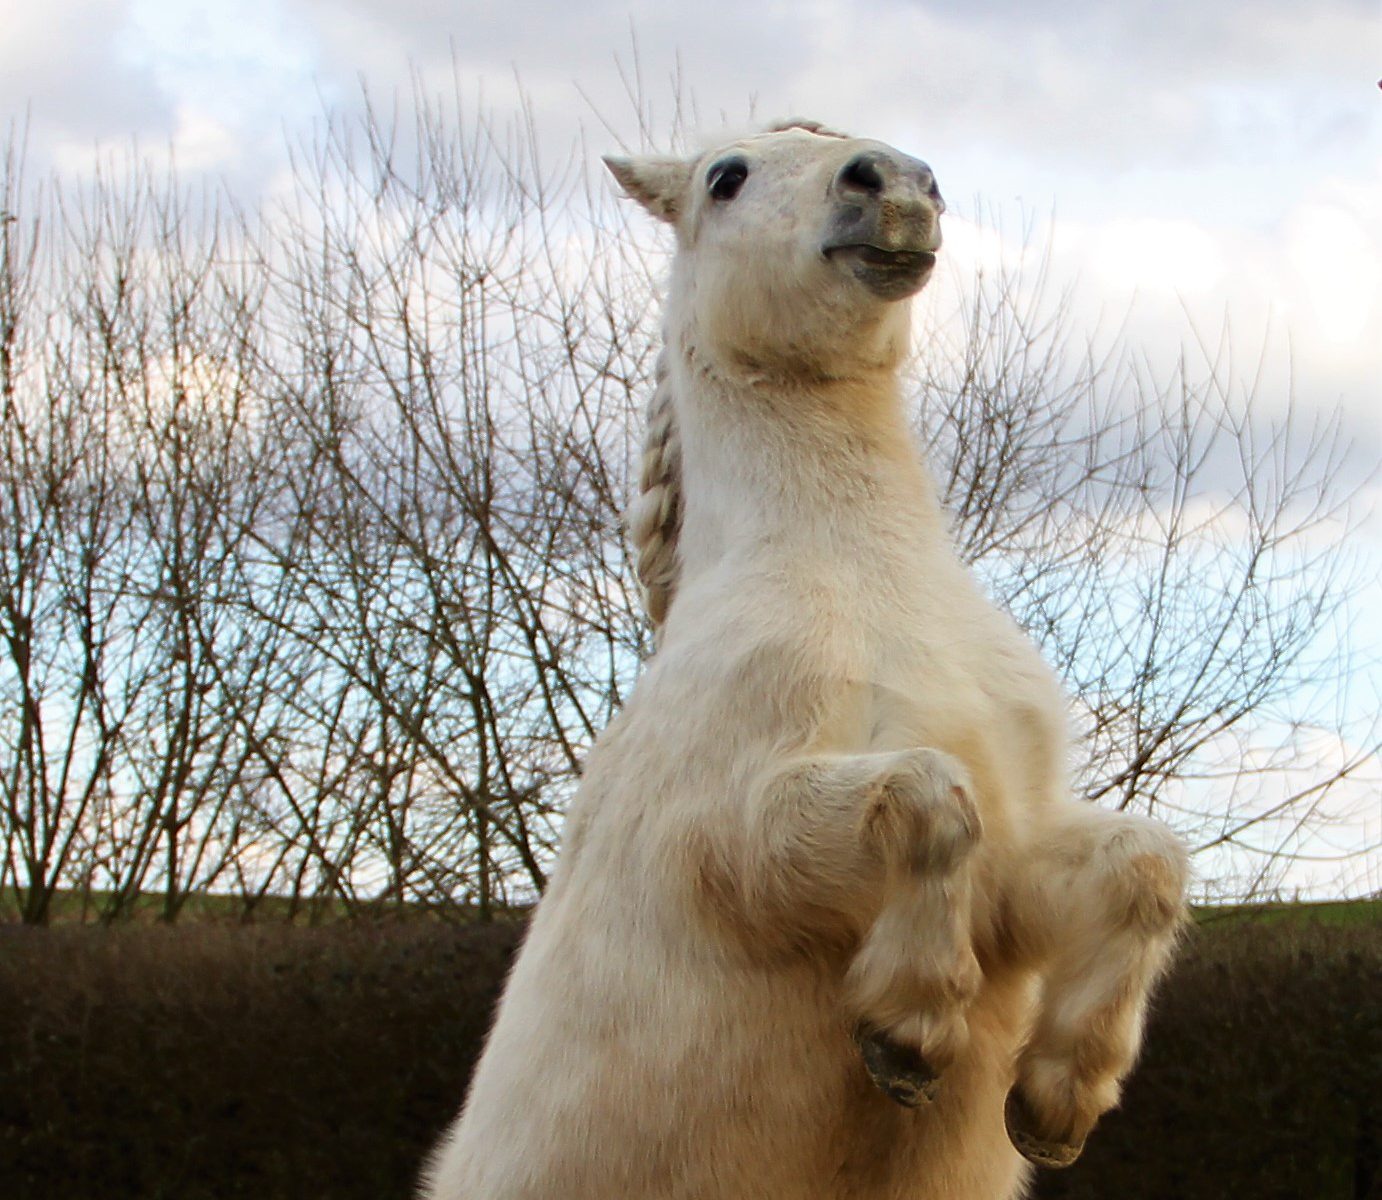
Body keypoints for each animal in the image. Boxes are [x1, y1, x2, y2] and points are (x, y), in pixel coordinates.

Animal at [420, 119, 1188, 1200]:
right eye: (724, 178)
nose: (895, 186)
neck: (864, 584)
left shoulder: (1015, 866)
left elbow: (1142, 864)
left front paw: (1056, 1100)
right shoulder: (737, 846)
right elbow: (926, 797)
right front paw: (907, 1030)